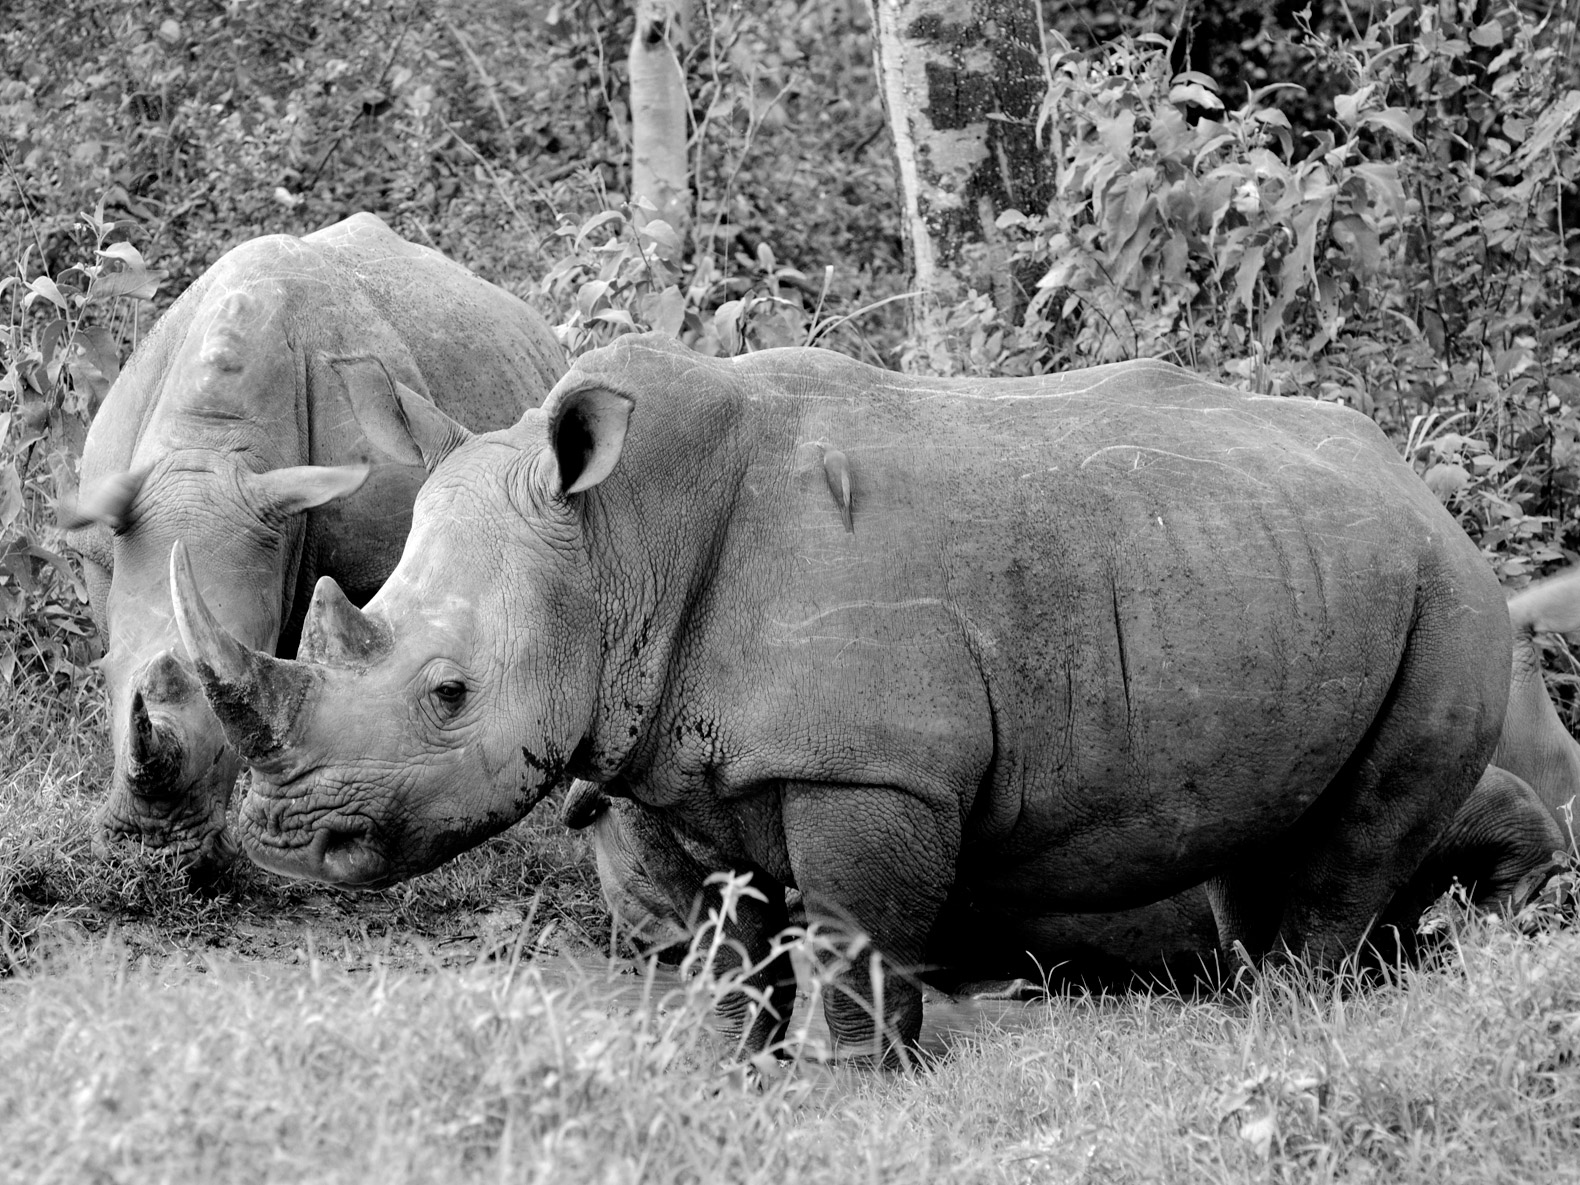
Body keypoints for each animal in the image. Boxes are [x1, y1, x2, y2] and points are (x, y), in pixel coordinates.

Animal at [168, 334, 1511, 1057]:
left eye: (448, 693)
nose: (278, 846)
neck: (618, 542)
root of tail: (1413, 481)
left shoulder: (874, 766)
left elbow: (858, 924)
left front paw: (856, 1076)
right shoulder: (656, 749)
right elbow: (719, 932)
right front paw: (731, 1067)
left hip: (1450, 598)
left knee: (1361, 833)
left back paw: (1291, 1015)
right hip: (1285, 561)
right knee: (1256, 826)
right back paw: (1257, 1005)